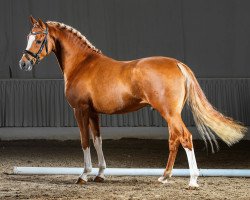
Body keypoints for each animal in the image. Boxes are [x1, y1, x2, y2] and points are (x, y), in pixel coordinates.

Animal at [19, 16, 246, 188]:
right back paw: (164, 177)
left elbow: (84, 141)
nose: (23, 63)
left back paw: (192, 180)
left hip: (170, 113)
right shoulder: (93, 113)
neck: (82, 64)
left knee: (185, 137)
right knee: (174, 139)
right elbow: (98, 140)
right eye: (28, 37)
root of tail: (177, 64)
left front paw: (84, 175)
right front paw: (100, 174)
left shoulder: (80, 110)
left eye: (38, 40)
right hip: (171, 114)